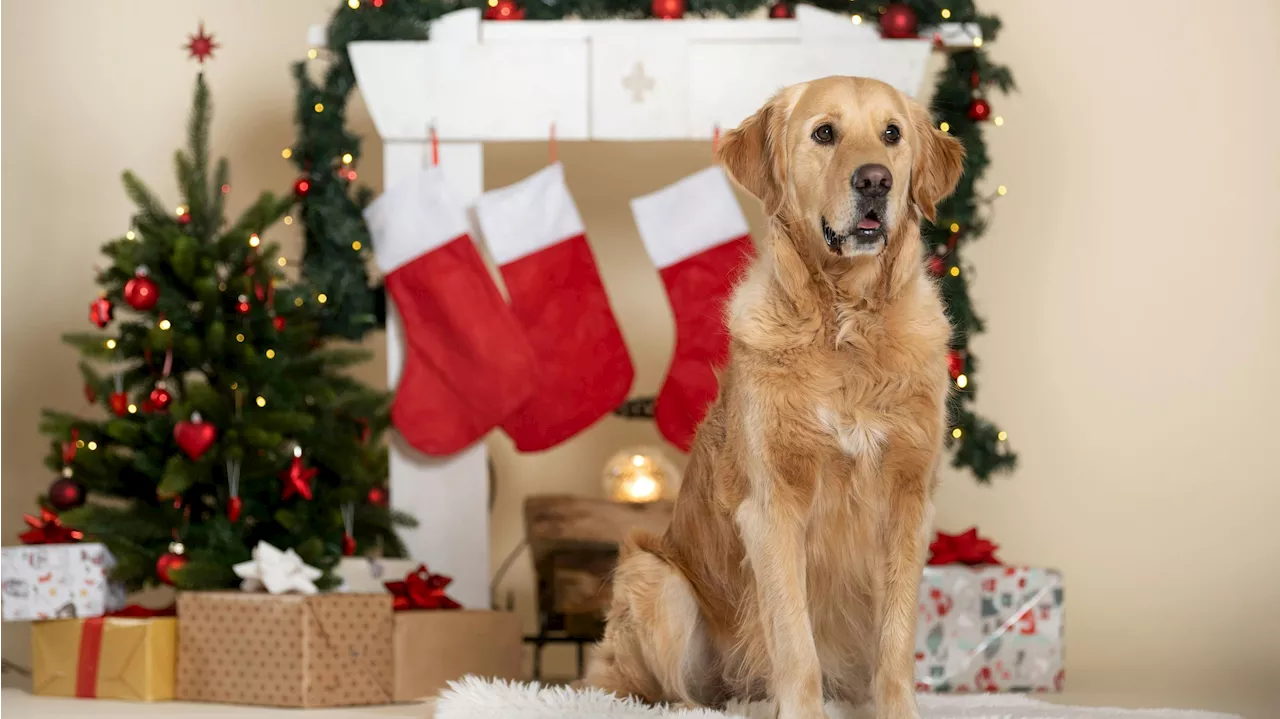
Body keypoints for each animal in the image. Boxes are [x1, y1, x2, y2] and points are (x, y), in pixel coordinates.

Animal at [586, 75, 962, 711]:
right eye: (824, 133)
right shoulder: (773, 505)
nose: (875, 180)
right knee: (673, 694)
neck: (845, 323)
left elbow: (895, 643)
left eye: (892, 134)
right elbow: (795, 643)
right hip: (655, 579)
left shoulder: (909, 500)